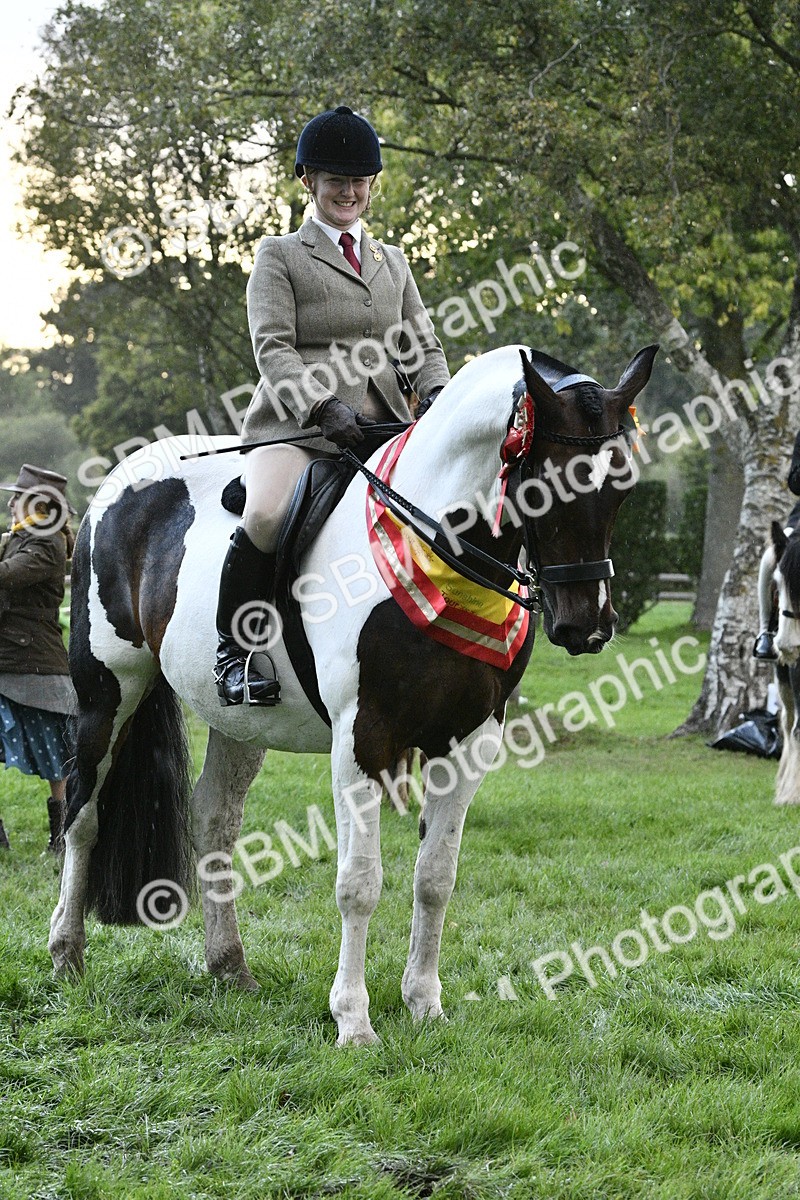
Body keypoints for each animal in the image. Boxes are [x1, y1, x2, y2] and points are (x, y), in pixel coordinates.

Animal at [50, 342, 658, 1045]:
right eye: (543, 484)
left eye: (623, 487)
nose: (586, 626)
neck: (437, 549)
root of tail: (120, 482)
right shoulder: (362, 738)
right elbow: (359, 882)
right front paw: (354, 1022)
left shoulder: (470, 739)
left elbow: (435, 877)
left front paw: (424, 1003)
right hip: (107, 690)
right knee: (83, 813)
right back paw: (66, 955)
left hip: (236, 720)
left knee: (214, 820)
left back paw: (229, 966)